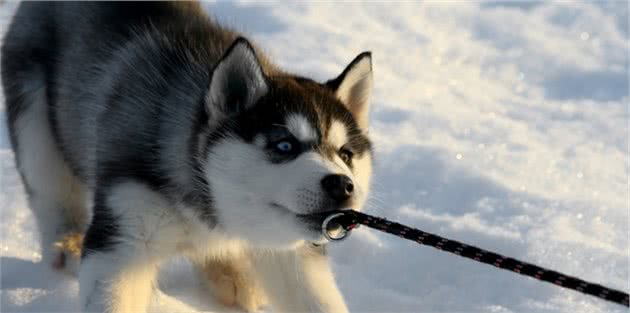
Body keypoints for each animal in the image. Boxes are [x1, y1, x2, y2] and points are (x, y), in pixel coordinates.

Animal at [1, 3, 376, 312]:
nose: (342, 185)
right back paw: (67, 242)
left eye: (345, 153)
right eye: (284, 145)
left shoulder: (294, 251)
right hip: (34, 118)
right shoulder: (123, 237)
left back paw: (231, 274)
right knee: (51, 189)